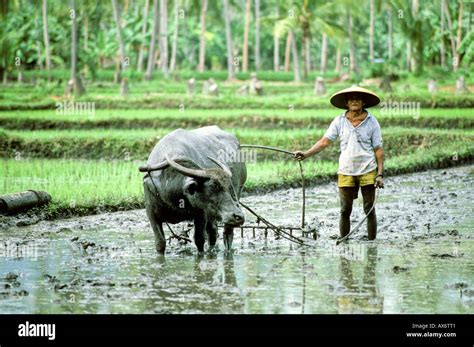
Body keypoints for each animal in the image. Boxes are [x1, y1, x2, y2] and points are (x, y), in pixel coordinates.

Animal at [138, 126, 246, 254]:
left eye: (229, 187)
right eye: (213, 186)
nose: (239, 216)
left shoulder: (201, 214)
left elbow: (199, 240)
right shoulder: (151, 213)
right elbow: (160, 242)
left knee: (227, 233)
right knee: (213, 232)